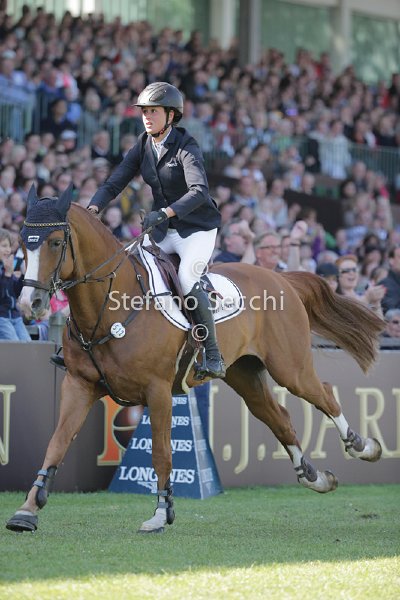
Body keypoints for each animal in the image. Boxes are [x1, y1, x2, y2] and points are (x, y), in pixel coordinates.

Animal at [6, 185, 384, 534]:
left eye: (56, 242)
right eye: (23, 242)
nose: (29, 304)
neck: (109, 304)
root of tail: (281, 277)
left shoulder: (157, 391)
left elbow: (161, 453)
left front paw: (161, 514)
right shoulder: (79, 385)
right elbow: (56, 443)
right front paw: (27, 510)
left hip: (290, 368)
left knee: (323, 394)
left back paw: (363, 447)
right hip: (244, 375)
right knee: (279, 417)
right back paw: (314, 477)